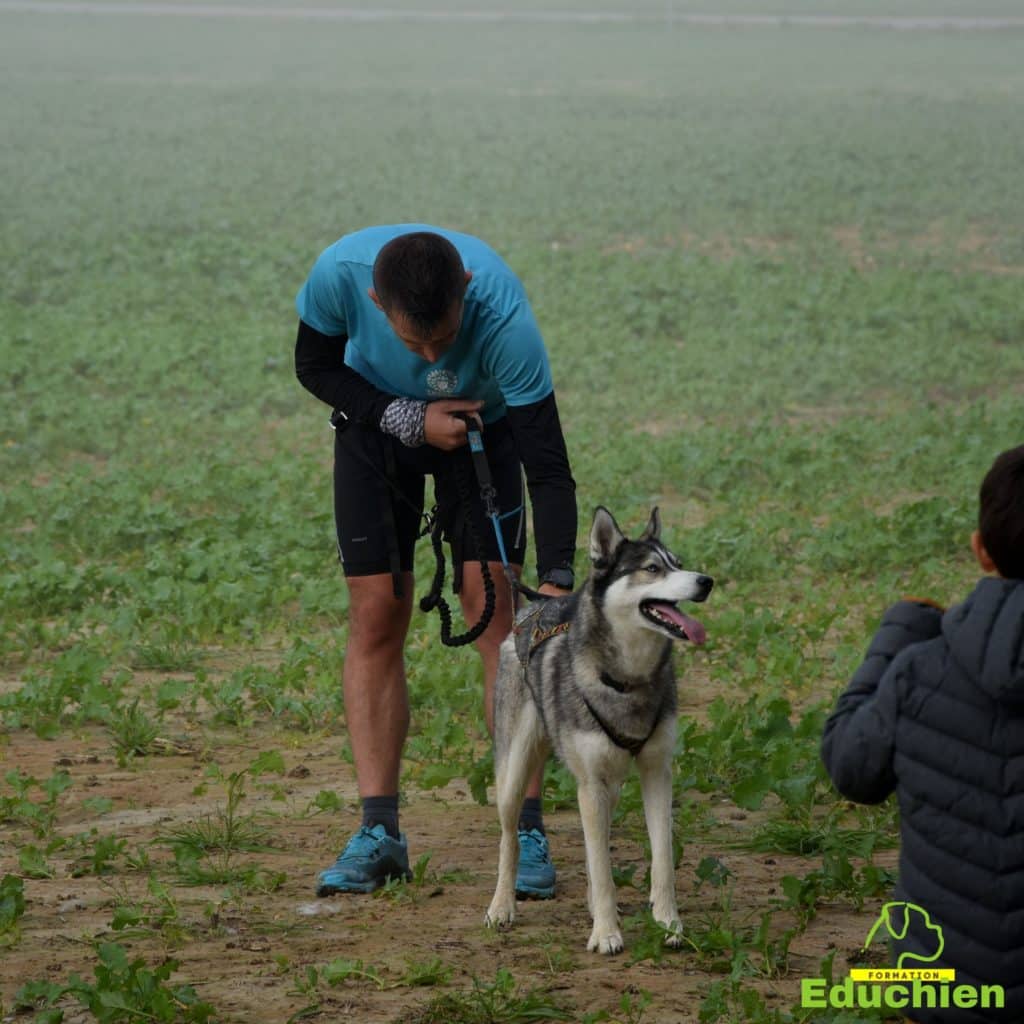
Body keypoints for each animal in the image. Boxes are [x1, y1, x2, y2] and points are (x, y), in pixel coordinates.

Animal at [485, 507, 712, 954]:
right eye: (652, 568)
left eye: (678, 563)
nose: (705, 581)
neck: (627, 680)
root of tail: (532, 607)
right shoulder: (590, 782)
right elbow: (603, 869)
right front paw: (606, 933)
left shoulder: (656, 774)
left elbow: (661, 859)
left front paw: (670, 924)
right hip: (516, 772)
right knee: (508, 838)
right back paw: (502, 906)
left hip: (612, 785)